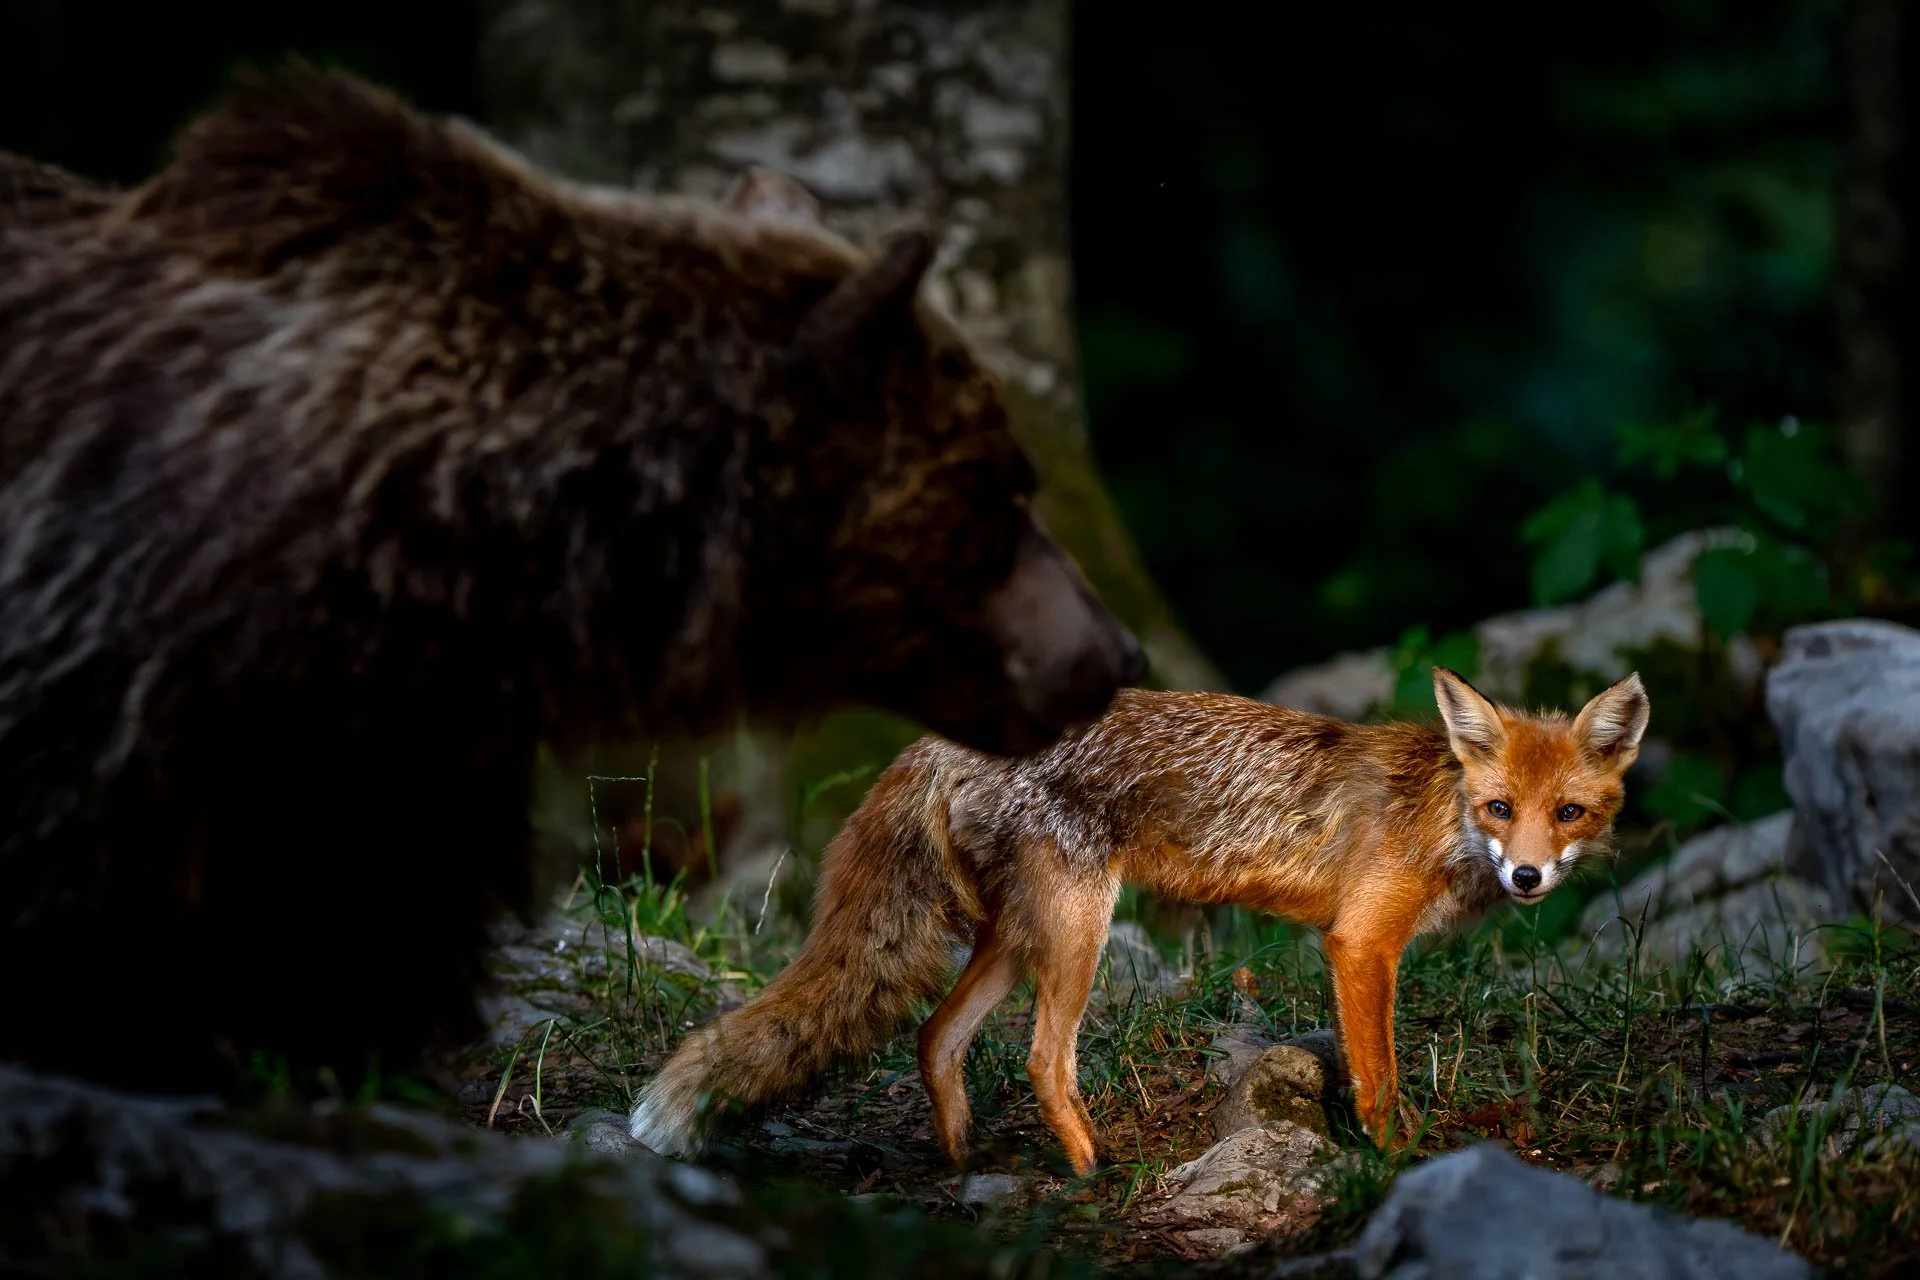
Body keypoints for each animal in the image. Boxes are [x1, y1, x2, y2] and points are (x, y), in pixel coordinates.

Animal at [628, 667, 1651, 1175]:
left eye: (1568, 813)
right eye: (1498, 807)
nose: (1527, 875)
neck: (1439, 816)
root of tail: (937, 743)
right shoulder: (1362, 942)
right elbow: (1378, 1081)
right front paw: (1398, 1162)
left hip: (1017, 937)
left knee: (934, 1037)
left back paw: (962, 1162)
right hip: (1077, 933)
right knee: (1043, 1059)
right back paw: (1091, 1171)